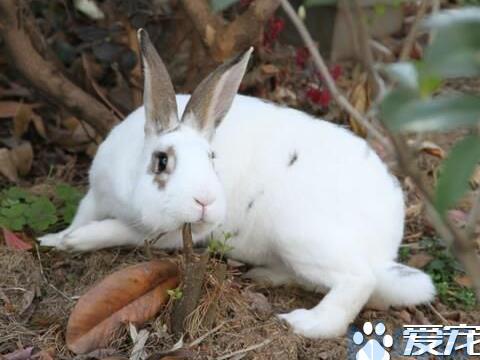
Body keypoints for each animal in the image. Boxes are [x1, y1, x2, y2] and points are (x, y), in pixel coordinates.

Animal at [40, 29, 436, 338]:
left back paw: (306, 323)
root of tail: (387, 246)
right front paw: (55, 239)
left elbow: (117, 231)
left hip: (300, 234)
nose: (204, 201)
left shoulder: (167, 236)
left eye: (212, 158)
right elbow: (82, 215)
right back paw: (266, 276)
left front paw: (78, 241)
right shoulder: (96, 194)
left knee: (358, 280)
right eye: (162, 160)